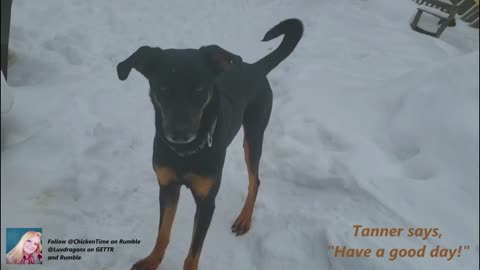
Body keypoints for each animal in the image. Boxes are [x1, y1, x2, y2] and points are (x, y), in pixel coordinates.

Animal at [117, 19, 302, 270]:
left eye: (199, 89)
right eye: (163, 89)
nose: (180, 134)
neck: (184, 153)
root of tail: (255, 68)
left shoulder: (206, 202)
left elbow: (193, 252)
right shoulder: (167, 187)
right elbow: (163, 233)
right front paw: (151, 261)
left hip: (254, 135)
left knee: (255, 180)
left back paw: (244, 219)